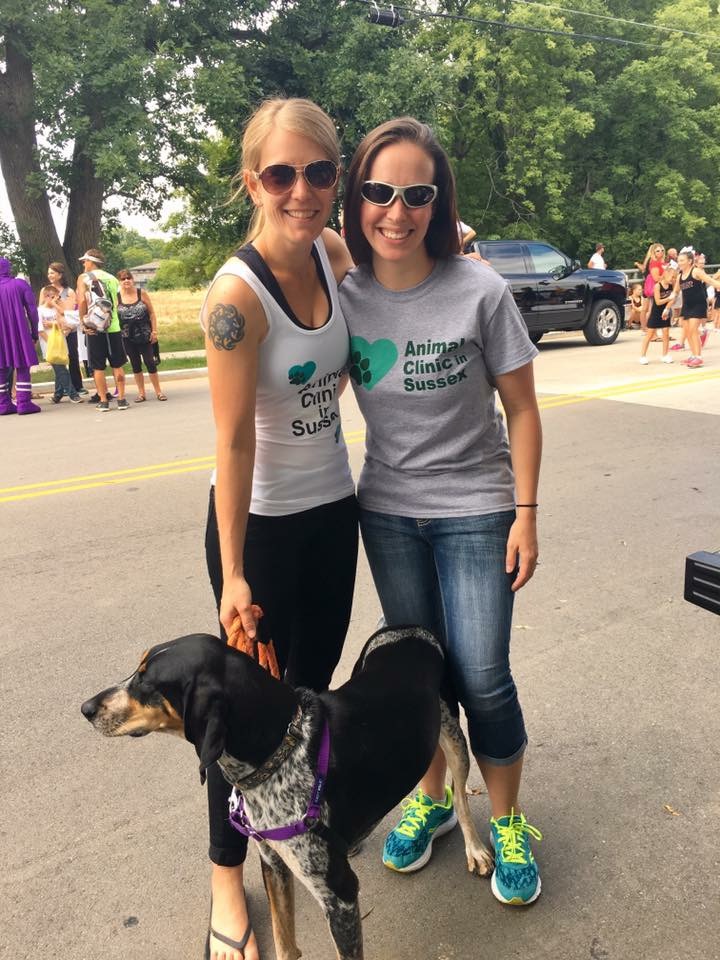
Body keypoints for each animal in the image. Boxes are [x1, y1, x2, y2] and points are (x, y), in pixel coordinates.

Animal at [80, 632, 496, 960]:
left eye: (147, 682)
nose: (85, 708)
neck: (279, 750)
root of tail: (409, 628)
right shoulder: (272, 862)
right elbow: (284, 942)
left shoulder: (340, 896)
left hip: (454, 736)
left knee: (461, 797)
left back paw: (475, 849)